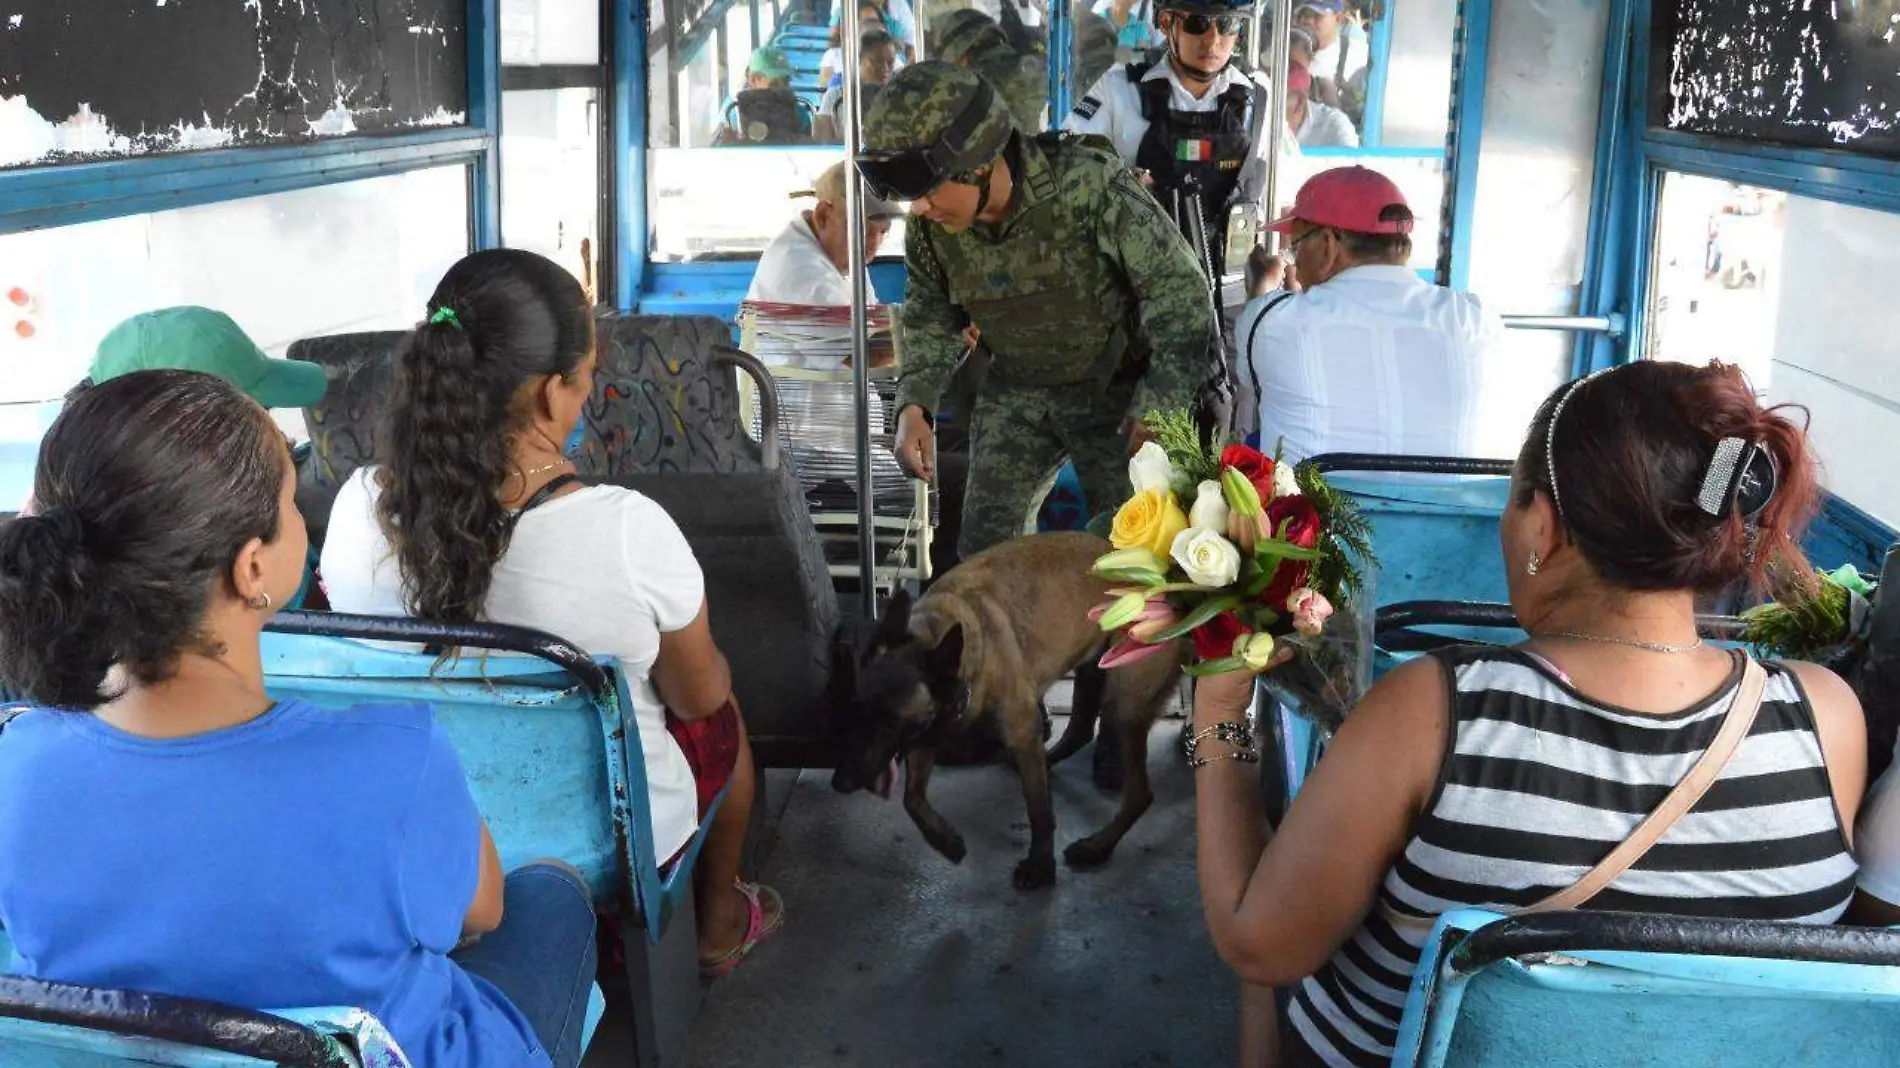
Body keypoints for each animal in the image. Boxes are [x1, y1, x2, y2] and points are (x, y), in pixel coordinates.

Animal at [836, 528, 1185, 885]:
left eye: (891, 723)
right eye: (854, 711)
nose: (840, 783)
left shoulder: (1020, 729)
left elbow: (1039, 811)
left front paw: (1041, 864)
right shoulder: (924, 737)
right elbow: (912, 799)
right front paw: (943, 839)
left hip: (1121, 706)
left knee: (1138, 794)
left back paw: (1096, 847)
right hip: (1092, 674)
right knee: (1078, 732)